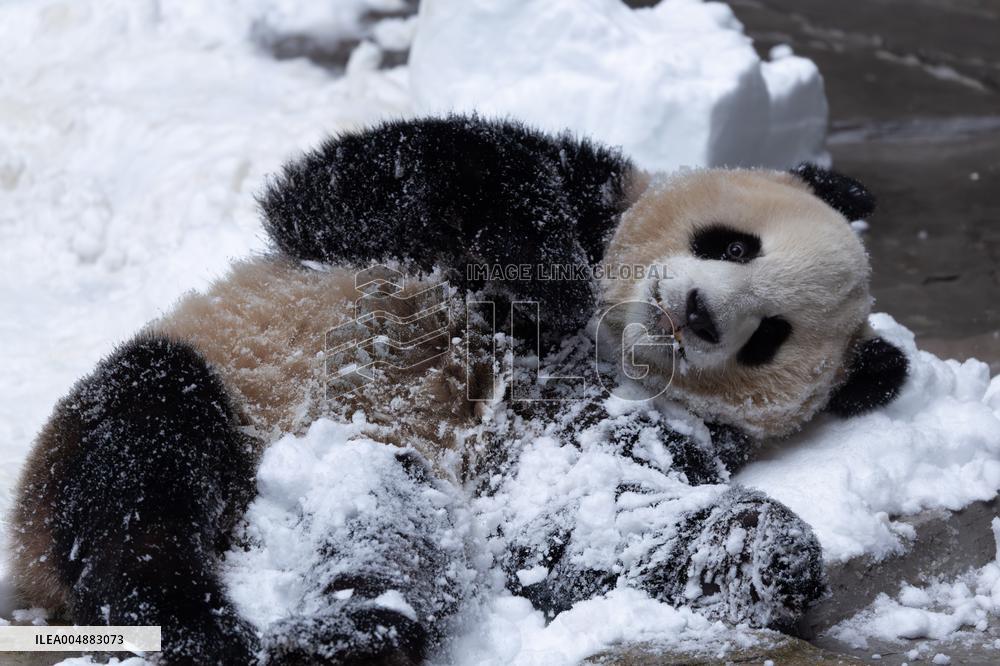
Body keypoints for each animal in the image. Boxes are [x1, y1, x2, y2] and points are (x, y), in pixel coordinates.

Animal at [7, 116, 908, 665]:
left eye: (768, 337)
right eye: (733, 244)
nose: (693, 313)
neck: (606, 348)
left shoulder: (642, 432)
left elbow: (573, 528)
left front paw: (770, 553)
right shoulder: (564, 188)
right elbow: (392, 173)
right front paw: (549, 278)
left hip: (379, 475)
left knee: (396, 532)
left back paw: (345, 634)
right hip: (217, 376)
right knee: (141, 464)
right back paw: (193, 622)